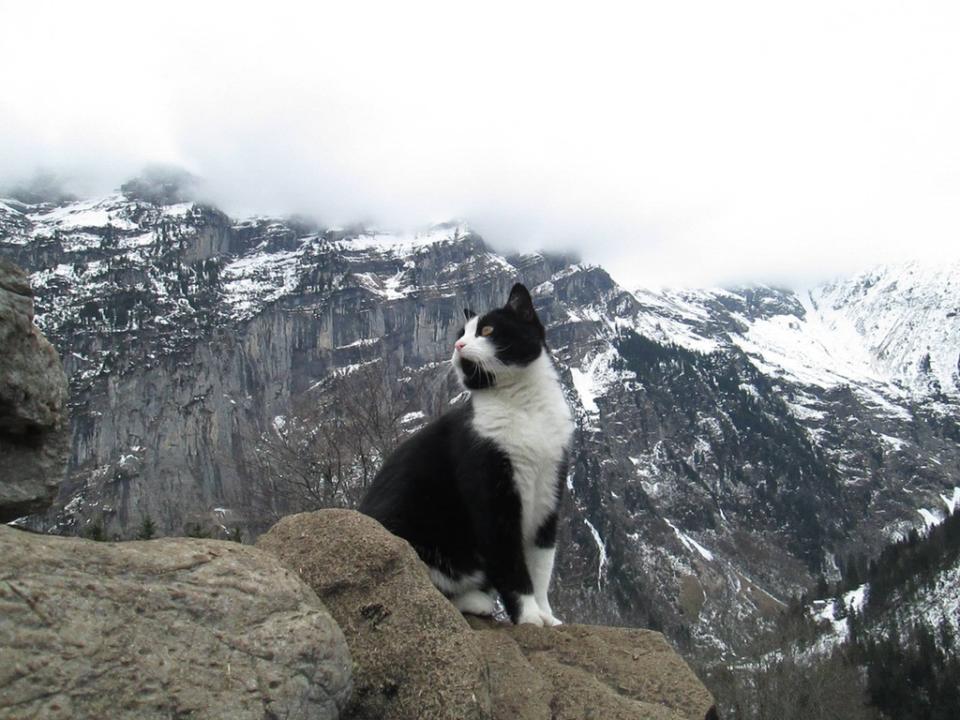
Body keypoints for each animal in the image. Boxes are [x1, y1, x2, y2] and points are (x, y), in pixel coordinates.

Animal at [358, 282, 568, 624]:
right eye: (461, 332)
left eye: (487, 329)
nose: (457, 344)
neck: (523, 406)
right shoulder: (490, 492)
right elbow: (511, 564)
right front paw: (528, 617)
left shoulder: (550, 491)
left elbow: (541, 565)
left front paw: (547, 616)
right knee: (418, 586)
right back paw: (475, 601)